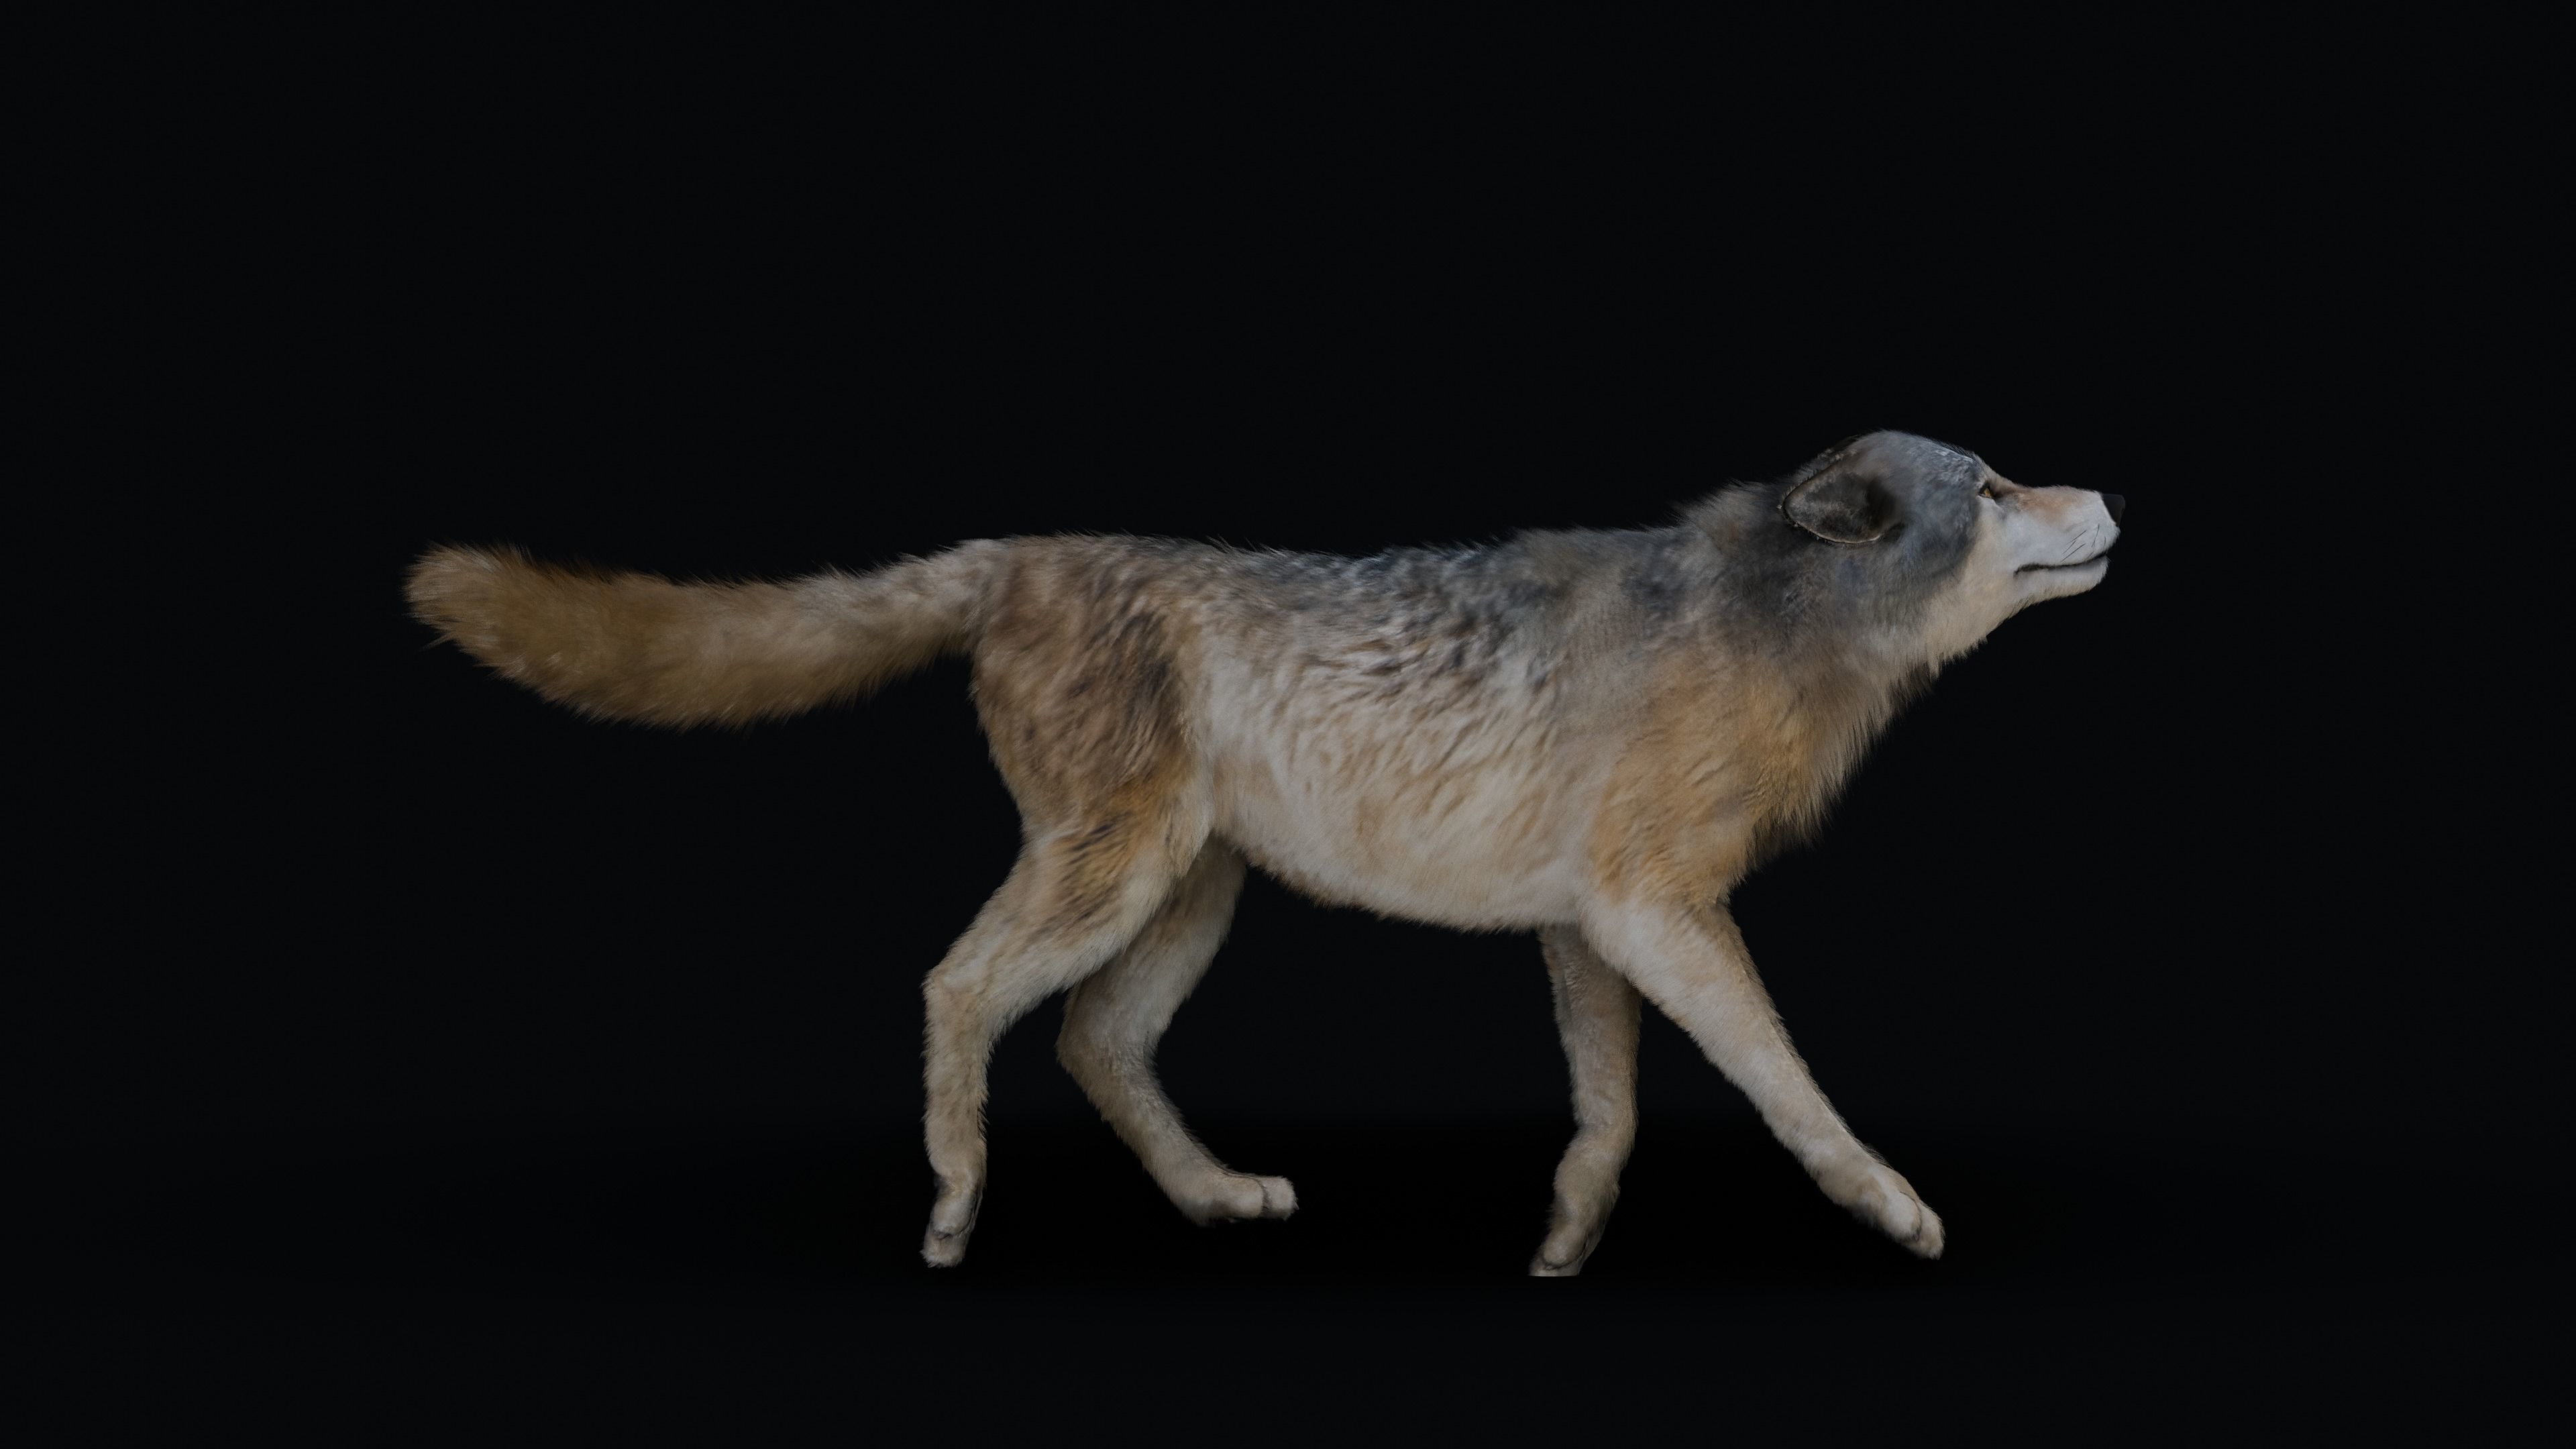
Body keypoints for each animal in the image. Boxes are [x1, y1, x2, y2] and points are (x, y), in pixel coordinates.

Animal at [406, 430, 2122, 1275]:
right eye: (1989, 489)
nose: (2110, 490)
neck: (1768, 625)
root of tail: (1015, 552)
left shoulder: (1593, 926)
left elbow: (1614, 1116)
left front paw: (1566, 1242)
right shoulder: (1656, 913)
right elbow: (1789, 1087)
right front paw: (1888, 1209)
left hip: (1186, 899)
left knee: (1091, 1044)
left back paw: (1215, 1198)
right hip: (1112, 877)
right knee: (954, 987)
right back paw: (954, 1208)